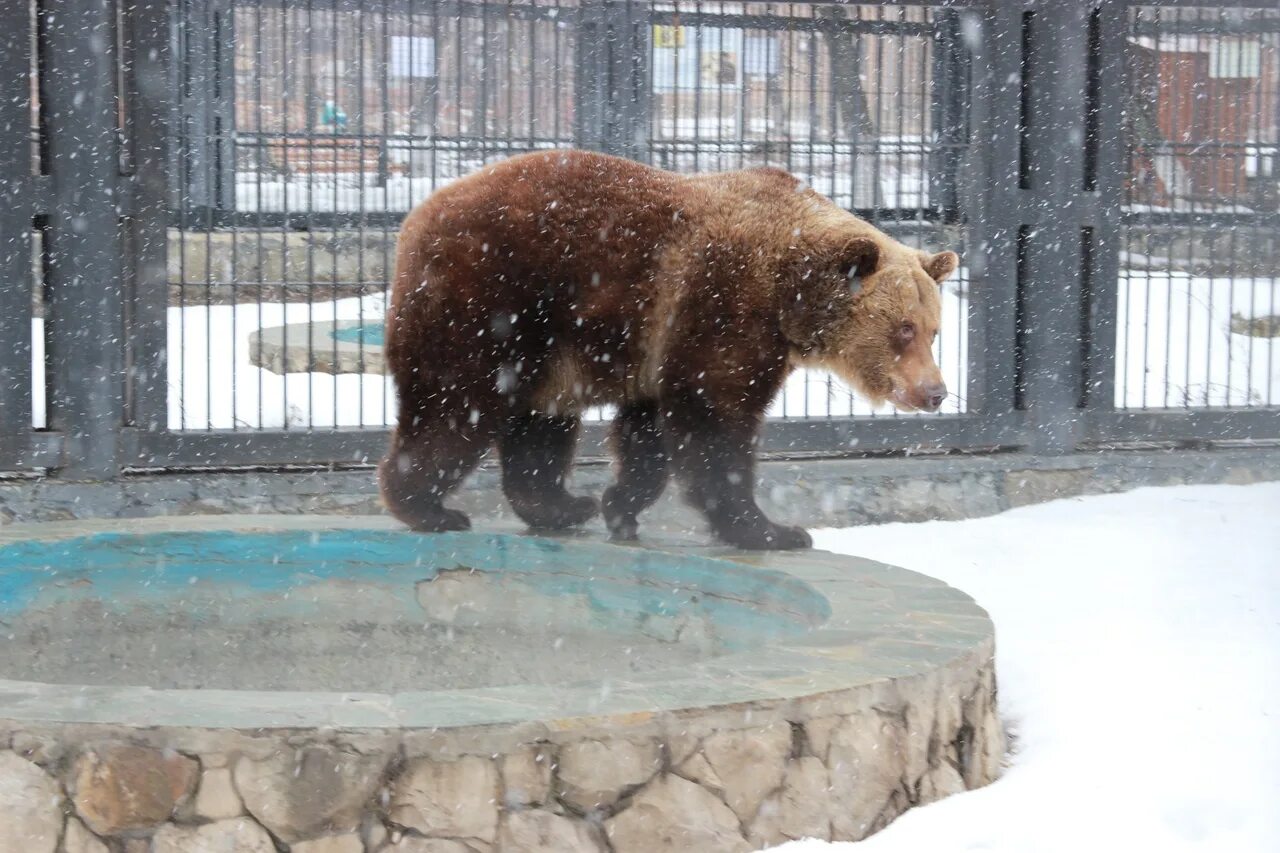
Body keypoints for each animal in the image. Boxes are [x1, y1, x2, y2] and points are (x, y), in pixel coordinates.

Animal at [373, 149, 957, 548]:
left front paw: (619, 506)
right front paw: (772, 528)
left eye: (934, 330)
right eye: (904, 328)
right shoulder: (725, 307)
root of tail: (416, 217)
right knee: (457, 404)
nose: (935, 392)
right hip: (493, 301)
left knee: (539, 425)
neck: (789, 292)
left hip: (546, 345)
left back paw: (564, 505)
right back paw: (429, 508)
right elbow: (716, 423)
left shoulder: (671, 342)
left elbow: (648, 434)